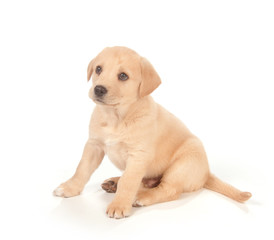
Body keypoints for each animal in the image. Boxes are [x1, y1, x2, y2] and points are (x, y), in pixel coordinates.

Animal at [53, 46, 250, 218]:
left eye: (123, 76)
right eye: (98, 69)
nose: (99, 89)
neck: (116, 117)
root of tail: (207, 173)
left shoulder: (138, 155)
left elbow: (129, 182)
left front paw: (119, 205)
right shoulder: (94, 145)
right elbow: (82, 169)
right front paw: (69, 188)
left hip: (182, 165)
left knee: (169, 190)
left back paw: (141, 197)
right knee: (145, 182)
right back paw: (115, 182)